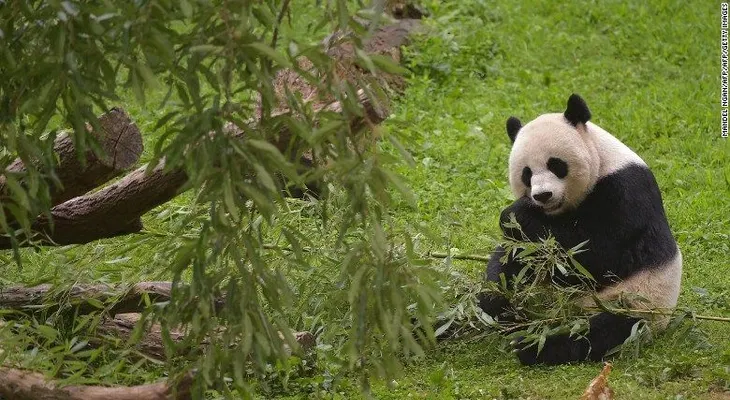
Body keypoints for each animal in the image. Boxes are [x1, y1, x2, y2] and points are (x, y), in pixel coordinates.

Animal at [478, 94, 682, 366]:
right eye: (526, 174)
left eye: (556, 165)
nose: (542, 195)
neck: (603, 161)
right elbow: (514, 257)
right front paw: (495, 299)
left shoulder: (626, 193)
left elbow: (598, 256)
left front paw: (516, 214)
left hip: (637, 303)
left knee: (598, 333)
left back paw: (533, 344)